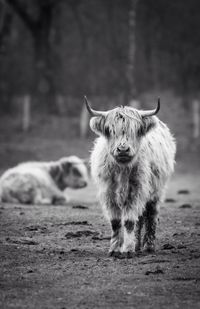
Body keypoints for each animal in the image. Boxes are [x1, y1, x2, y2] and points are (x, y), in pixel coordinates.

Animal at [85, 96, 176, 258]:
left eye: (135, 130)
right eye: (111, 130)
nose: (122, 149)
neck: (122, 168)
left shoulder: (136, 190)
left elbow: (128, 221)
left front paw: (127, 249)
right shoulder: (108, 192)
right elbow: (116, 221)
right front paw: (115, 249)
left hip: (156, 190)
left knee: (151, 214)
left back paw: (148, 246)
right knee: (140, 218)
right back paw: (137, 245)